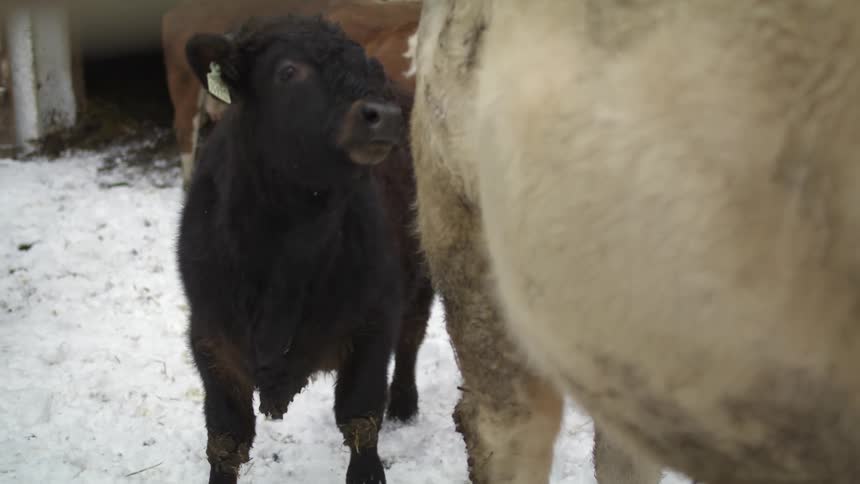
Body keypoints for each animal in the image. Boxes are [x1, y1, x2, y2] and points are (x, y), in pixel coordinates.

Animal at [176, 15, 432, 484]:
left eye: (371, 71)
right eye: (288, 71)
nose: (382, 116)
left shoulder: (374, 323)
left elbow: (360, 422)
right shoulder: (210, 338)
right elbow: (225, 438)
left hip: (422, 276)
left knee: (411, 338)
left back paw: (404, 404)